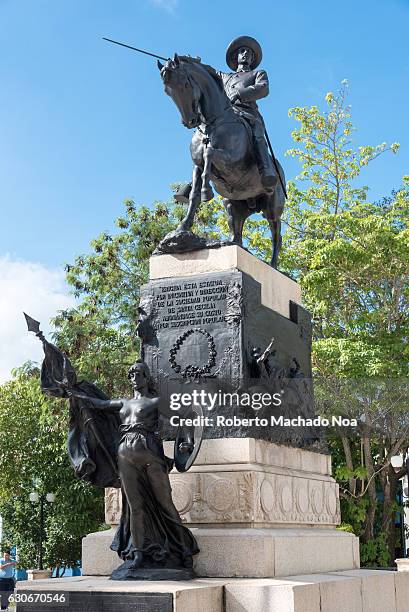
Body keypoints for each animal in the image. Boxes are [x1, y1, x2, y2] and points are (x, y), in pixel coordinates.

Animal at [158, 55, 286, 268]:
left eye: (185, 84)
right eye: (167, 90)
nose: (190, 121)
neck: (213, 123)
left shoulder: (231, 161)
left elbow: (209, 154)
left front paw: (207, 191)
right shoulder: (196, 165)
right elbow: (193, 195)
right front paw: (182, 228)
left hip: (272, 208)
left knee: (277, 235)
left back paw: (273, 264)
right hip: (232, 204)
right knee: (237, 229)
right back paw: (232, 242)